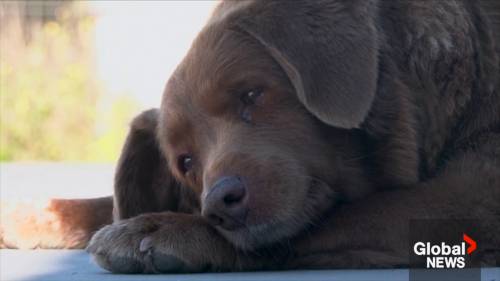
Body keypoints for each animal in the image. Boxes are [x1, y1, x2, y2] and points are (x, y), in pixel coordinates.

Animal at [1, 0, 498, 272]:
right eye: (186, 162)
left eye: (253, 94)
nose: (219, 203)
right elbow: (105, 201)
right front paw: (30, 215)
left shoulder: (471, 197)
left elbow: (341, 216)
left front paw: (163, 229)